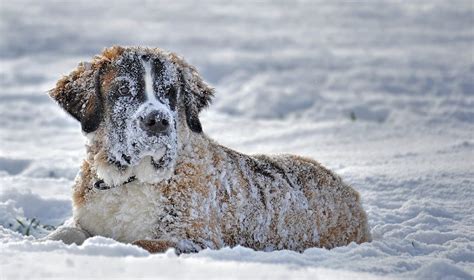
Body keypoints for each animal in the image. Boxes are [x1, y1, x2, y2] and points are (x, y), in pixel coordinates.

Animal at [45, 46, 370, 254]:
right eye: (123, 90)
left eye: (170, 92)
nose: (158, 120)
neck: (129, 180)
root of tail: (348, 190)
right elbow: (64, 232)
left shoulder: (195, 239)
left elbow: (139, 243)